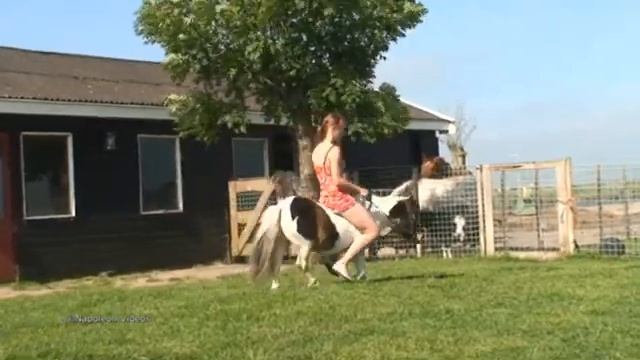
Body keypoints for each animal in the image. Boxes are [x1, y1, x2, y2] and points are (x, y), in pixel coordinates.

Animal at [248, 172, 418, 290]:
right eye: (409, 215)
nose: (414, 237)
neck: (374, 212)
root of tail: (283, 206)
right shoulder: (359, 240)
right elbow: (358, 260)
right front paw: (355, 276)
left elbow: (338, 262)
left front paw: (346, 275)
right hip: (306, 245)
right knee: (300, 263)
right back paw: (313, 282)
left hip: (281, 242)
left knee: (274, 263)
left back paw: (275, 286)